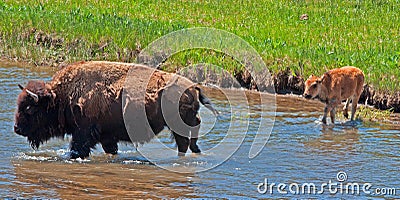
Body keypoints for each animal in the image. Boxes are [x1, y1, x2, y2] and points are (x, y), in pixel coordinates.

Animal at [14, 61, 219, 159]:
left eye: (30, 109)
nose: (16, 128)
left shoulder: (83, 134)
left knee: (185, 141)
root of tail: (193, 86)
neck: (62, 95)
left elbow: (77, 149)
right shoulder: (106, 137)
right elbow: (110, 149)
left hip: (179, 126)